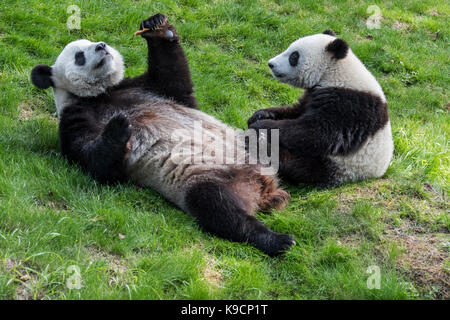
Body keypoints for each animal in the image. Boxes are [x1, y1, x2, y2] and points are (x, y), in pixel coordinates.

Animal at [30, 13, 292, 256]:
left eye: (94, 41)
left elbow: (176, 83)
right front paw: (118, 126)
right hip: (208, 178)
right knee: (219, 207)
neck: (101, 93)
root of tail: (264, 187)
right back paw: (276, 240)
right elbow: (94, 162)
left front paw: (156, 27)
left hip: (251, 144)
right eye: (79, 56)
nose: (101, 46)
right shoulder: (76, 115)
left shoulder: (145, 88)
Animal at [248, 30, 392, 186]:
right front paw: (259, 115)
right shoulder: (313, 95)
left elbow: (317, 132)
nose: (271, 64)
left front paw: (262, 125)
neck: (335, 73)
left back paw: (261, 145)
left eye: (294, 56)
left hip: (339, 166)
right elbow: (296, 111)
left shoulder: (350, 106)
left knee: (299, 166)